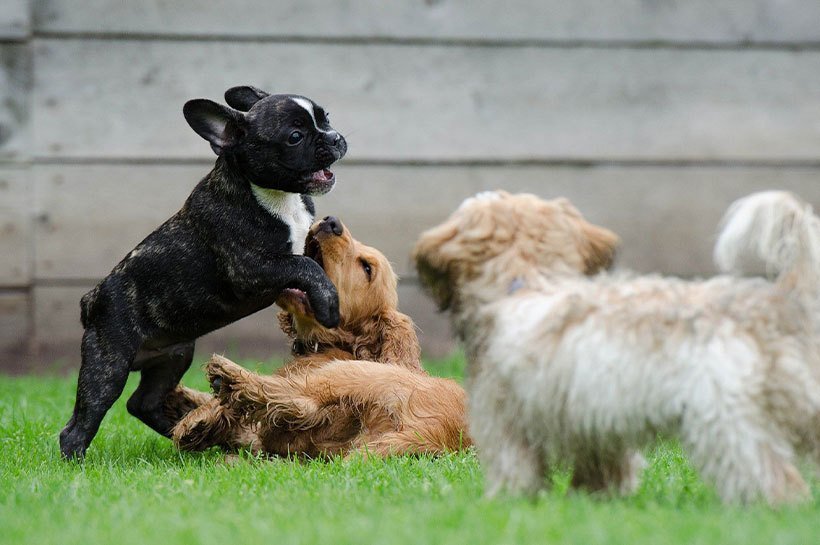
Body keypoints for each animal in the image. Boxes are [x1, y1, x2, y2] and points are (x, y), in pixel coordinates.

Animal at [59, 86, 348, 460]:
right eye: (295, 137)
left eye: (325, 119)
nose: (336, 137)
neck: (276, 196)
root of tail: (92, 299)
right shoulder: (252, 268)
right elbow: (304, 265)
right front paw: (328, 305)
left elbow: (313, 260)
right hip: (108, 365)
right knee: (82, 421)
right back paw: (76, 462)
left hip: (174, 355)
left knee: (143, 403)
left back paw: (187, 434)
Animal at [167, 216, 470, 454]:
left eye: (367, 268)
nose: (331, 221)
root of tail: (436, 431)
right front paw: (187, 403)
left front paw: (197, 417)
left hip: (352, 375)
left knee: (300, 400)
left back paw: (228, 376)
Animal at [416, 189, 820, 504]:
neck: (527, 281)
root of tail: (774, 304)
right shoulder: (596, 425)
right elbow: (604, 470)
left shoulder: (506, 420)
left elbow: (515, 468)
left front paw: (506, 502)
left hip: (725, 421)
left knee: (771, 475)